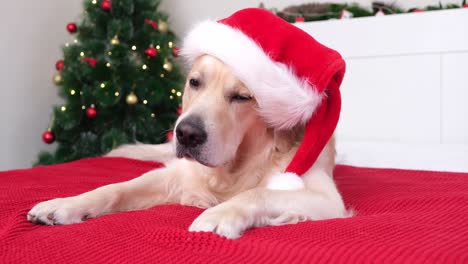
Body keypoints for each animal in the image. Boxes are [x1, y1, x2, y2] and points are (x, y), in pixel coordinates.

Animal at [25, 54, 348, 238]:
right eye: (195, 82)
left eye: (242, 97)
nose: (186, 134)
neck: (234, 167)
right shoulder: (176, 174)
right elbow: (116, 188)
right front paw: (65, 204)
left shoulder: (324, 196)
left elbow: (257, 193)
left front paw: (217, 215)